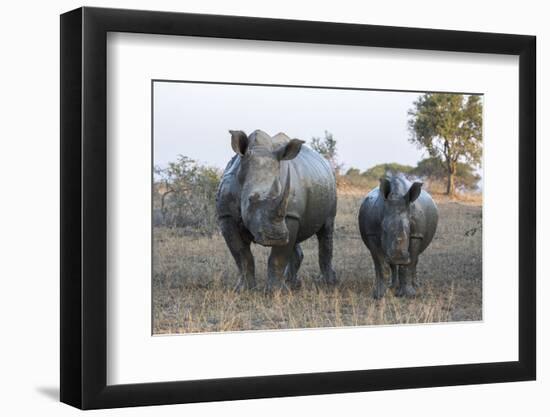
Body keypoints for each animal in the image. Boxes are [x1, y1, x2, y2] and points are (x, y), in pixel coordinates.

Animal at [217, 128, 338, 290]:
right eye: (250, 200)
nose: (276, 238)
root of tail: (325, 162)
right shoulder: (226, 216)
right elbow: (241, 255)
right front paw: (244, 289)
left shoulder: (290, 215)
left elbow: (278, 257)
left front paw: (275, 291)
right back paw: (291, 282)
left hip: (330, 186)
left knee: (326, 229)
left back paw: (328, 282)